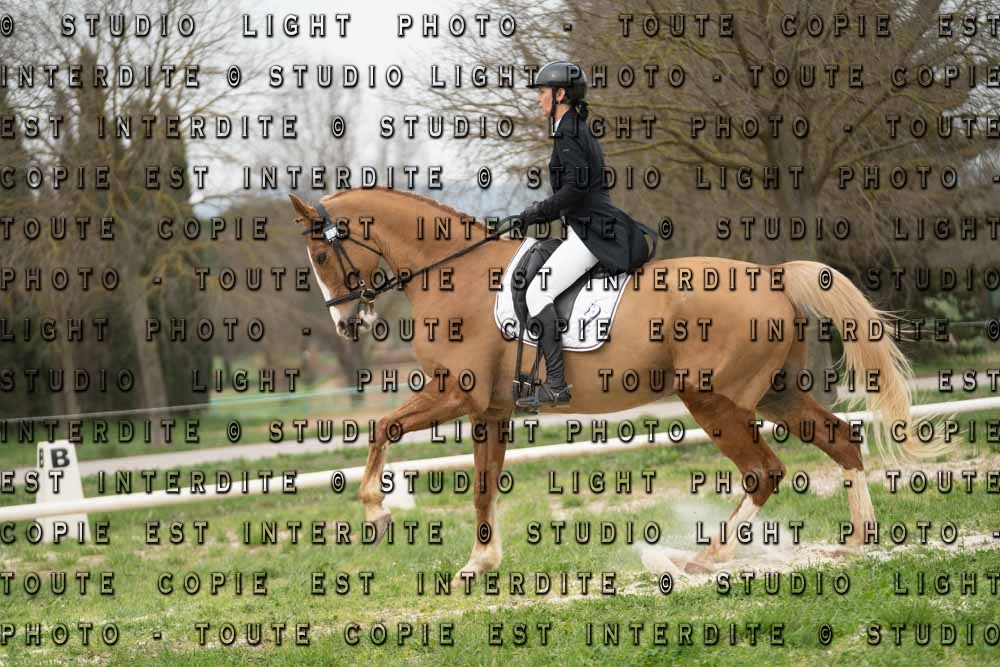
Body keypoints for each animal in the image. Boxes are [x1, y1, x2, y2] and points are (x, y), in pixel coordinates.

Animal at [288, 187, 953, 581]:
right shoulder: (492, 410)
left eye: (319, 258)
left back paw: (704, 557)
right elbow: (482, 486)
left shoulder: (459, 394)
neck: (455, 272)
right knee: (841, 441)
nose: (348, 325)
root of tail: (771, 275)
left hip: (714, 400)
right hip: (777, 393)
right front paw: (480, 563)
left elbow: (382, 427)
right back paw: (859, 540)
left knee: (764, 472)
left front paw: (375, 511)